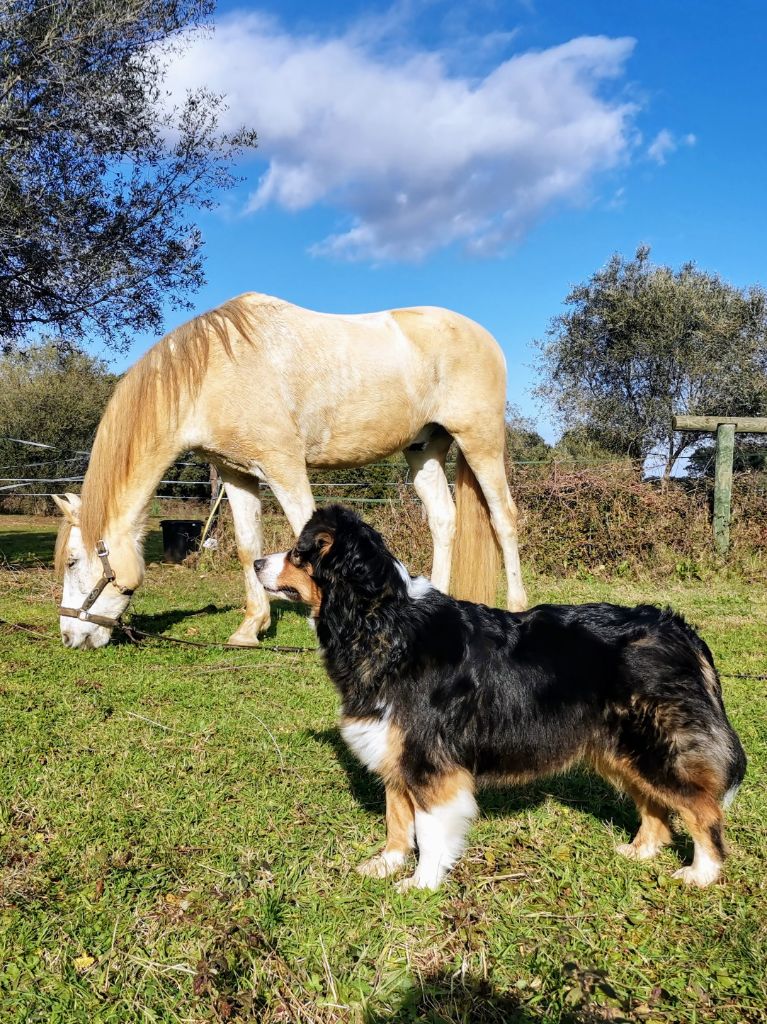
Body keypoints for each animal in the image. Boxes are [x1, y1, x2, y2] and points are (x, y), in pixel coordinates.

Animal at [53, 292, 528, 647]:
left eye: (73, 561)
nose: (69, 637)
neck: (212, 374)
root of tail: (484, 337)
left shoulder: (284, 467)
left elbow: (306, 531)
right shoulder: (237, 475)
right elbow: (247, 547)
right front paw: (250, 628)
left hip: (481, 441)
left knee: (504, 518)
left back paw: (519, 603)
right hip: (424, 449)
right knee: (443, 520)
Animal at [253, 507, 745, 892]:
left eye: (299, 552)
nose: (256, 561)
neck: (381, 621)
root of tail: (677, 627)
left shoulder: (429, 760)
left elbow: (429, 828)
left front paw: (421, 883)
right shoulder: (394, 750)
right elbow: (397, 819)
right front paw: (387, 864)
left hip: (657, 747)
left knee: (702, 806)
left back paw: (702, 873)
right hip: (620, 749)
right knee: (655, 804)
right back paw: (641, 851)